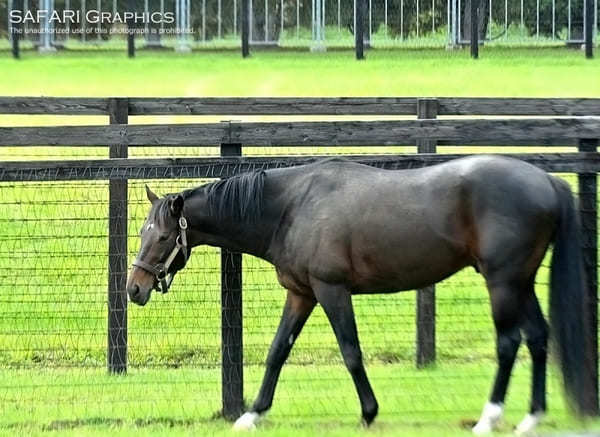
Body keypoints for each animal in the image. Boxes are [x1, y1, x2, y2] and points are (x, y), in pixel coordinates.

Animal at [124, 154, 588, 432]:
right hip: (521, 282)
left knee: (509, 342)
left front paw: (369, 412)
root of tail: (547, 180)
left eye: (162, 236)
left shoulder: (332, 290)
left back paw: (488, 419)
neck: (291, 207)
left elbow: (350, 351)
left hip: (503, 282)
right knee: (539, 338)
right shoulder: (301, 294)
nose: (134, 288)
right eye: (143, 232)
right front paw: (252, 414)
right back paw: (531, 418)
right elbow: (277, 352)